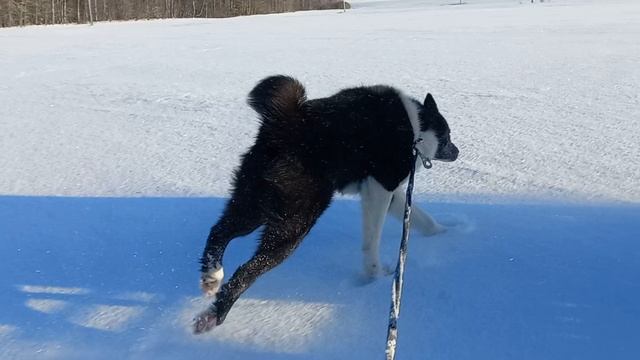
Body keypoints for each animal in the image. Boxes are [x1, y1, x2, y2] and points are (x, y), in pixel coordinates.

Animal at [192, 74, 458, 334]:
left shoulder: (389, 193)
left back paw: (212, 276)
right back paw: (214, 315)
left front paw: (446, 233)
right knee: (248, 270)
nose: (457, 152)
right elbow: (372, 240)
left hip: (254, 204)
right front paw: (375, 274)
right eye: (448, 136)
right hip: (296, 221)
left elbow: (424, 220)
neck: (417, 126)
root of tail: (288, 123)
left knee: (219, 231)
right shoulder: (380, 187)